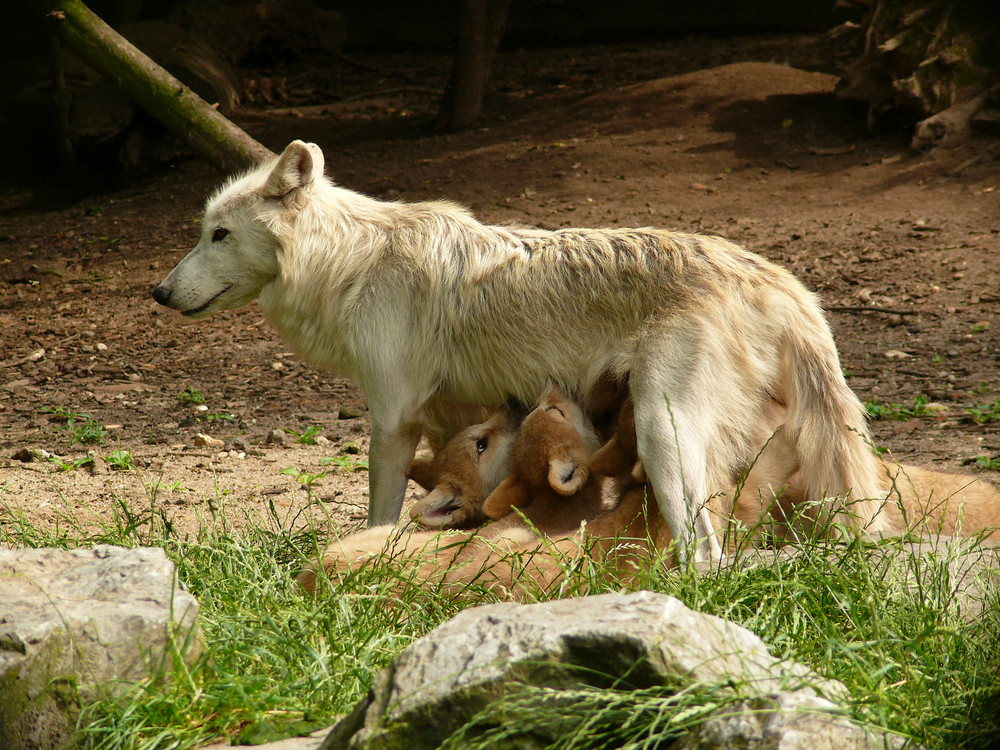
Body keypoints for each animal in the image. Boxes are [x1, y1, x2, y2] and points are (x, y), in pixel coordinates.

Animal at [152, 141, 888, 564]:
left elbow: (380, 509)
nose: (158, 292)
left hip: (663, 432)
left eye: (218, 235)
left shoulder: (392, 420)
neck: (350, 262)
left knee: (707, 555)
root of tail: (777, 279)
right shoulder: (448, 422)